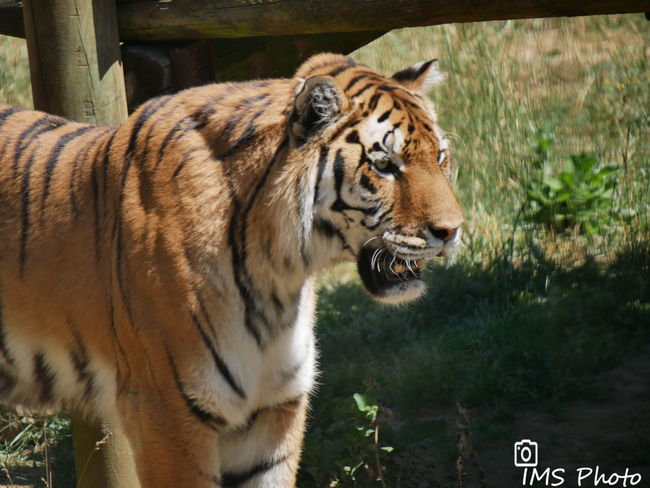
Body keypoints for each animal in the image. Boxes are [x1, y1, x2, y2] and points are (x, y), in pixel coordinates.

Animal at [0, 52, 464, 484]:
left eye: (441, 157)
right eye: (384, 165)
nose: (452, 231)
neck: (278, 274)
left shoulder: (274, 408)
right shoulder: (168, 411)